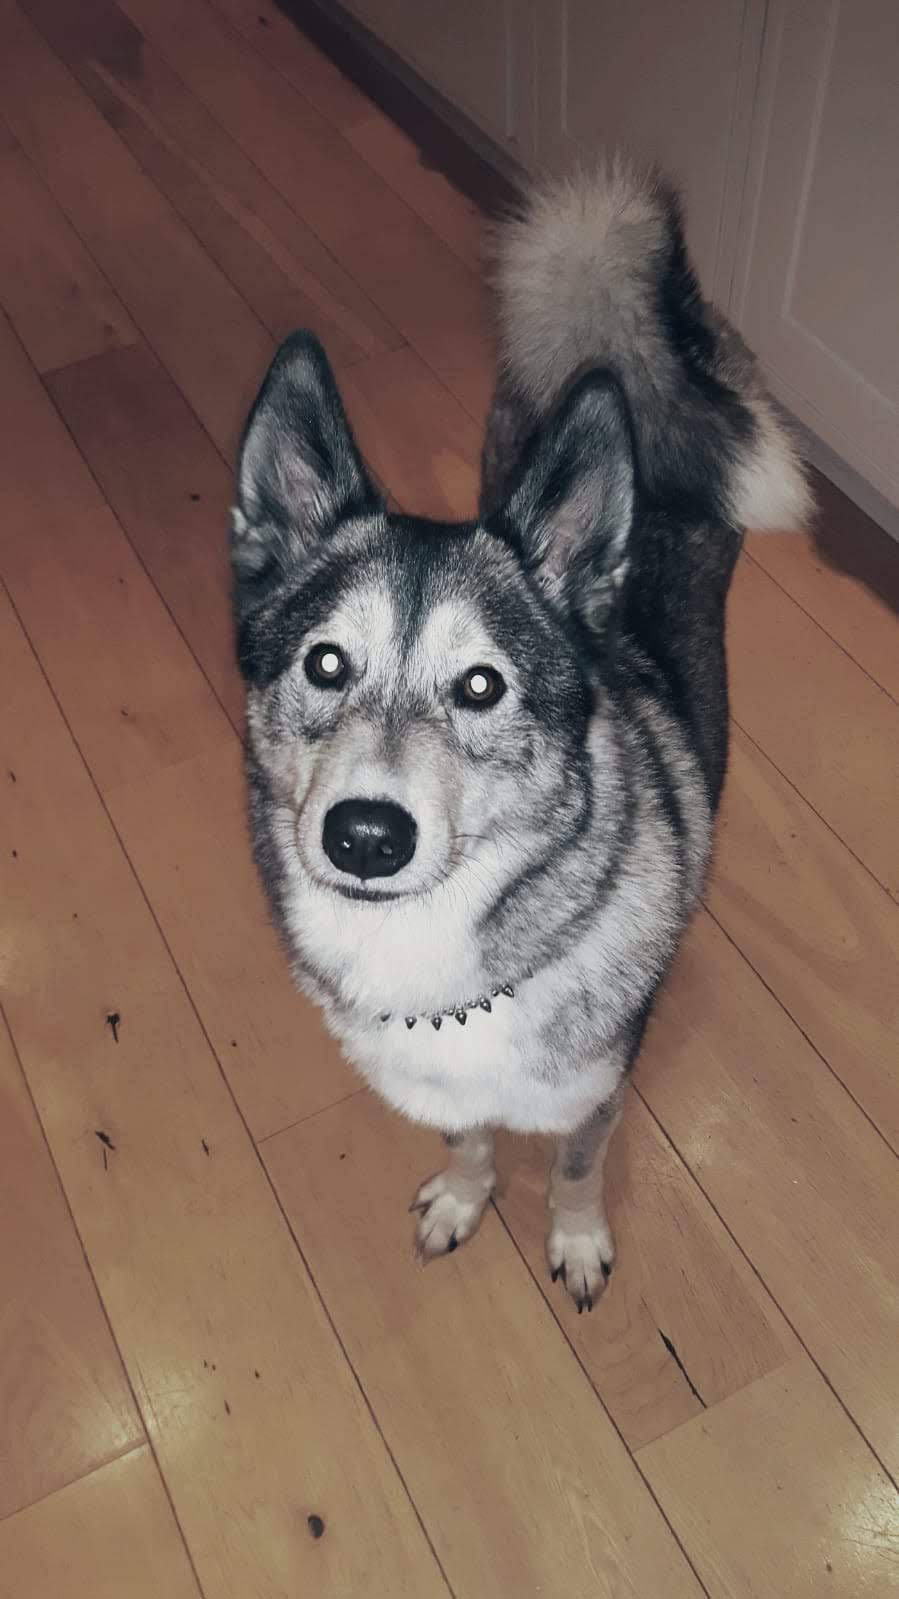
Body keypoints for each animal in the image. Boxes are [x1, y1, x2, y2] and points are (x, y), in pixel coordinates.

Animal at [230, 159, 806, 1311]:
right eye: (325, 663)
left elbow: (576, 1167)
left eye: (482, 685)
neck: (430, 945)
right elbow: (468, 1139)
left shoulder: (592, 1093)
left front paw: (576, 1239)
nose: (364, 836)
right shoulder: (449, 1093)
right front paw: (464, 1197)